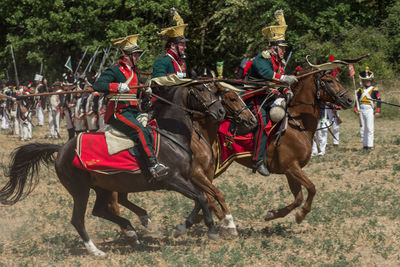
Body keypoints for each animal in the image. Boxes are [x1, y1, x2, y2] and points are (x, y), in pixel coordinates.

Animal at [0, 85, 227, 258]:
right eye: (201, 89)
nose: (221, 112)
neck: (171, 136)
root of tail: (62, 149)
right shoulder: (173, 180)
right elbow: (202, 198)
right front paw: (212, 230)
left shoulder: (187, 179)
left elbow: (200, 199)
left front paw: (182, 227)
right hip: (80, 190)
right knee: (78, 219)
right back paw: (96, 250)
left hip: (103, 187)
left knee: (99, 211)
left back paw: (132, 230)